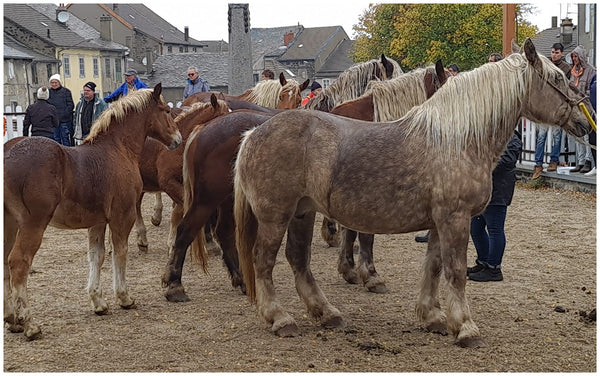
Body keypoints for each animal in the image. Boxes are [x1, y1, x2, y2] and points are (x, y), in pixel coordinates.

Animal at [4, 83, 183, 340]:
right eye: (166, 111)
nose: (178, 139)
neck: (118, 149)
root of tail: (8, 157)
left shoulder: (97, 221)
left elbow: (96, 256)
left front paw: (98, 302)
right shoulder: (122, 216)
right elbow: (119, 253)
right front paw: (124, 297)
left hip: (9, 223)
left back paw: (11, 319)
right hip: (32, 224)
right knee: (19, 263)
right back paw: (29, 323)